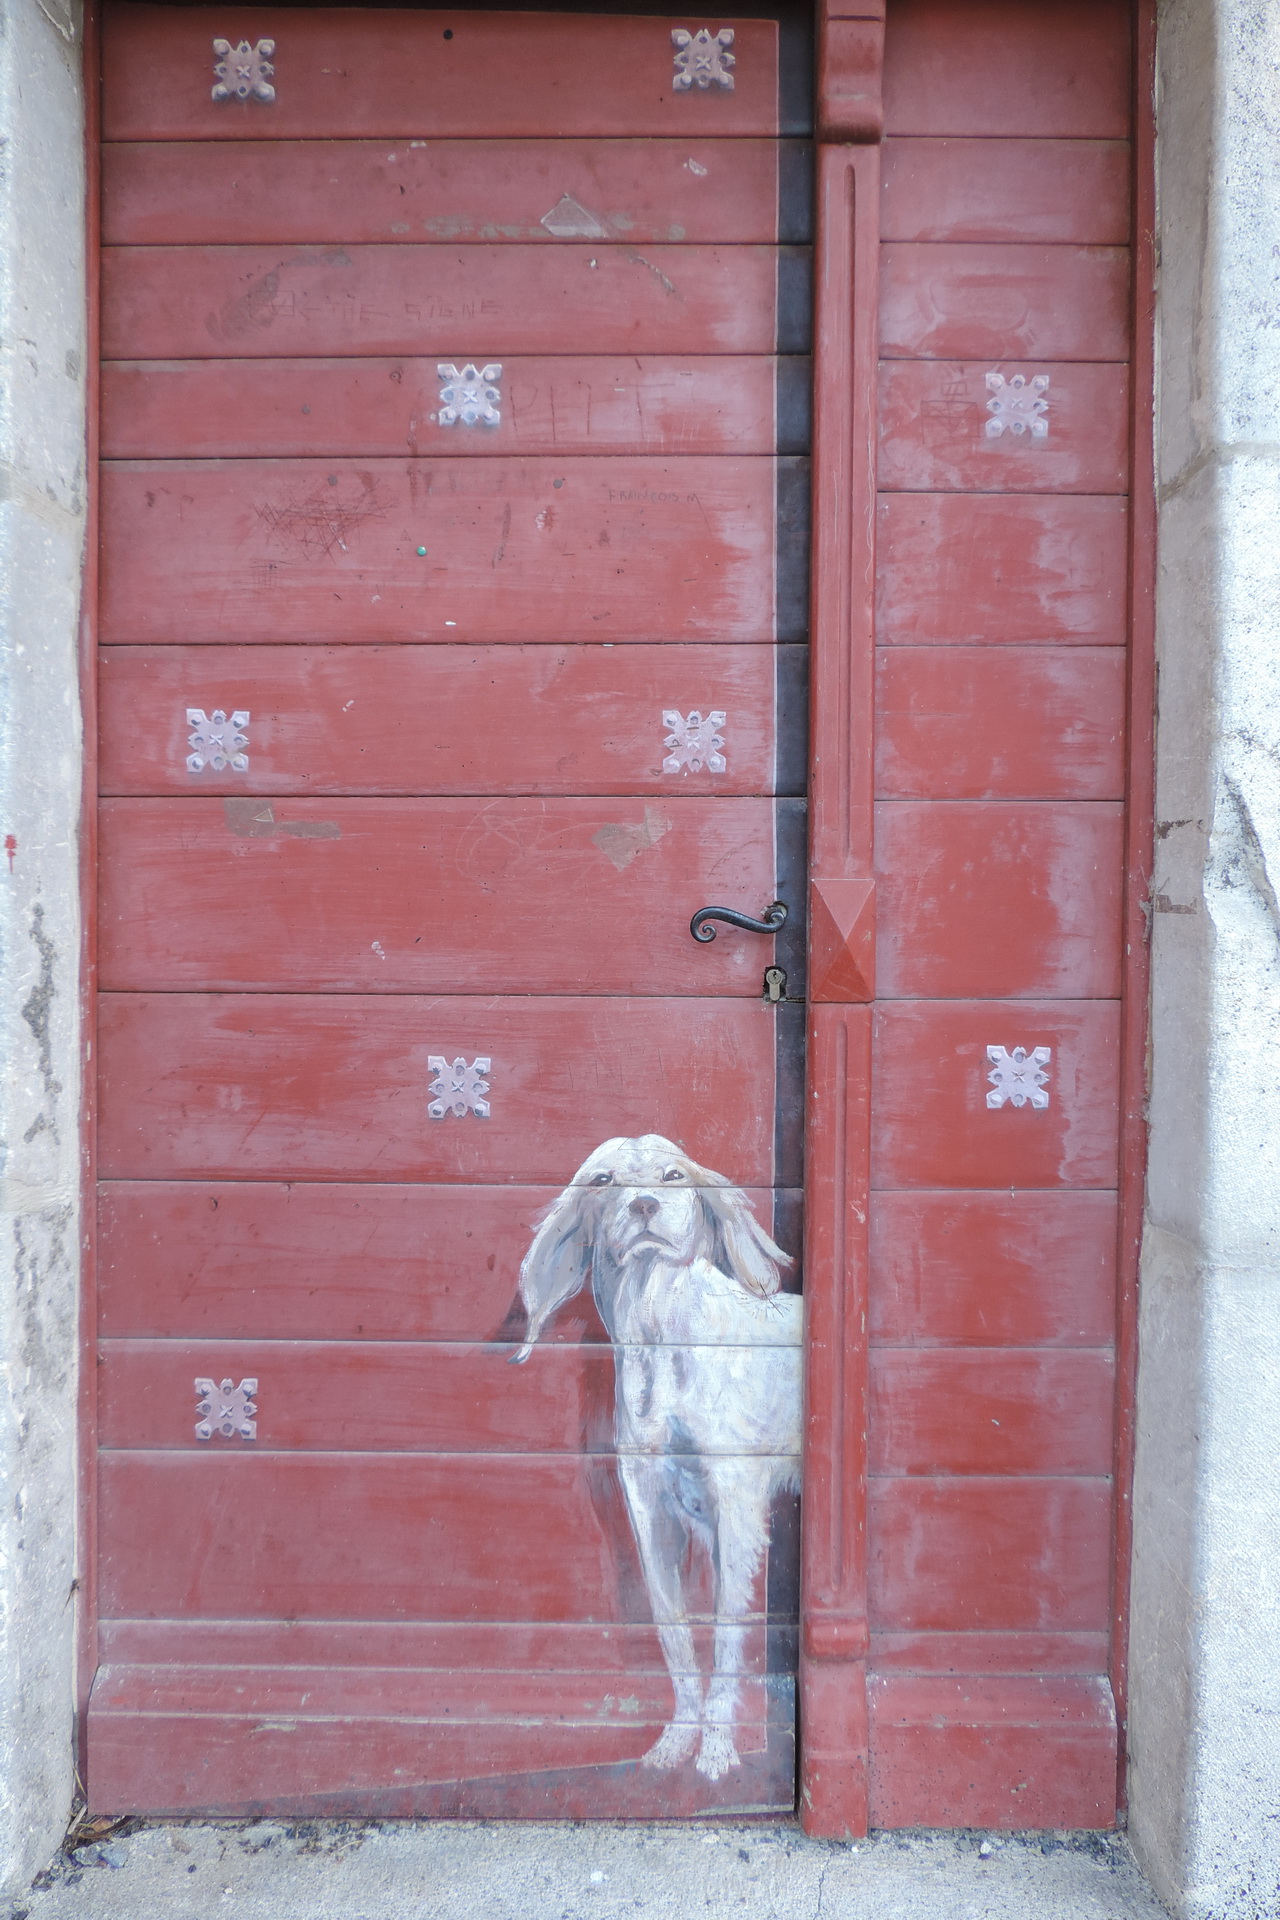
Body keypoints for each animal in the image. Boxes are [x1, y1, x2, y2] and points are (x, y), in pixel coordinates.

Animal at [511, 1134, 802, 1781]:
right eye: (603, 1181)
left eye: (673, 1176)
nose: (643, 1204)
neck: (661, 1341)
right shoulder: (650, 1514)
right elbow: (675, 1632)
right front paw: (678, 1740)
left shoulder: (738, 1512)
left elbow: (726, 1635)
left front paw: (716, 1749)